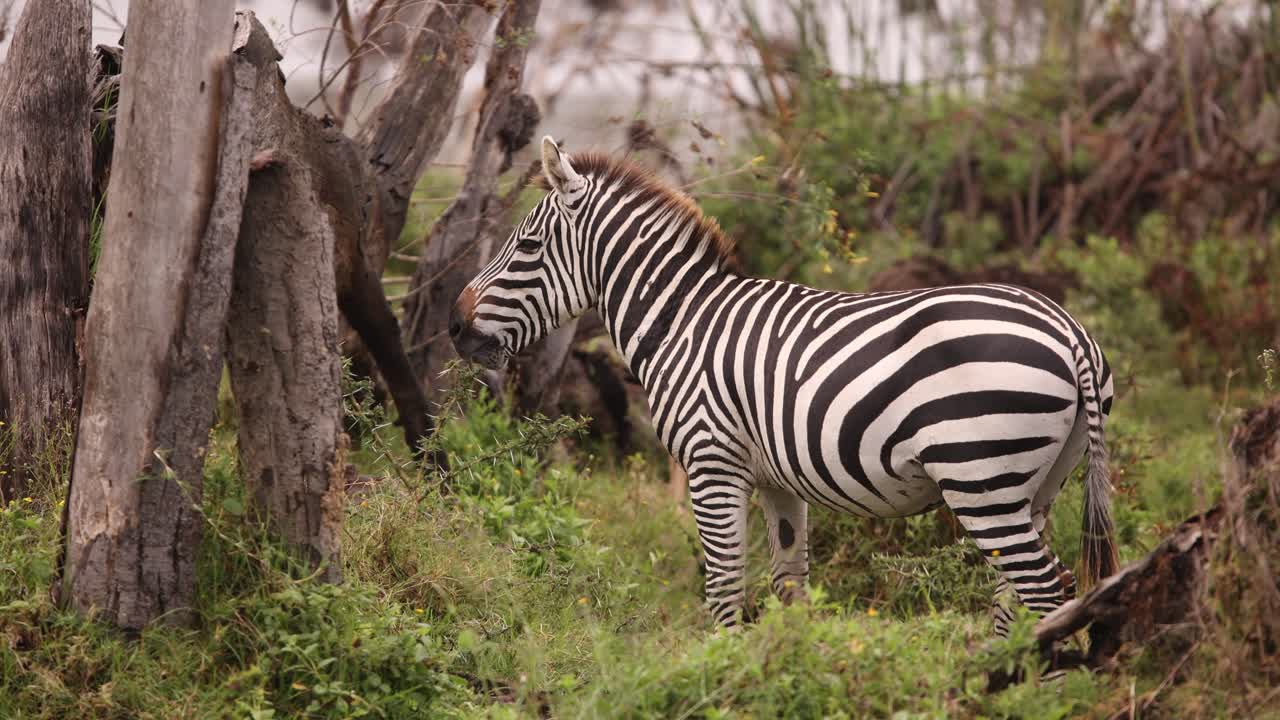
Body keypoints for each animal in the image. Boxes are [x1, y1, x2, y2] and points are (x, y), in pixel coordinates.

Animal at [450, 136, 1119, 633]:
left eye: (527, 245)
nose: (455, 327)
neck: (681, 321)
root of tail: (1072, 335)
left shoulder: (711, 464)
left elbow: (724, 586)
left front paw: (725, 675)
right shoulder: (777, 482)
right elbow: (788, 585)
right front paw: (786, 668)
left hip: (980, 474)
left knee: (1047, 589)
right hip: (1039, 482)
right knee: (1021, 596)